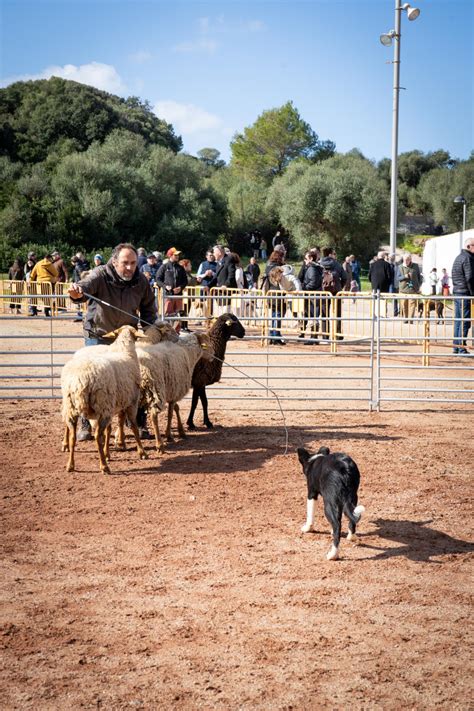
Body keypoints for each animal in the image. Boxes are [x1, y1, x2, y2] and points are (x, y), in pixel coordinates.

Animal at [61, 326, 146, 472]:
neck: (124, 350)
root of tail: (81, 379)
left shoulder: (118, 403)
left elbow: (114, 426)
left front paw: (111, 450)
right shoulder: (131, 402)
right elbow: (134, 427)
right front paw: (141, 452)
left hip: (71, 405)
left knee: (72, 435)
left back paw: (70, 463)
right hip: (102, 405)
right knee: (97, 436)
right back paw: (104, 466)